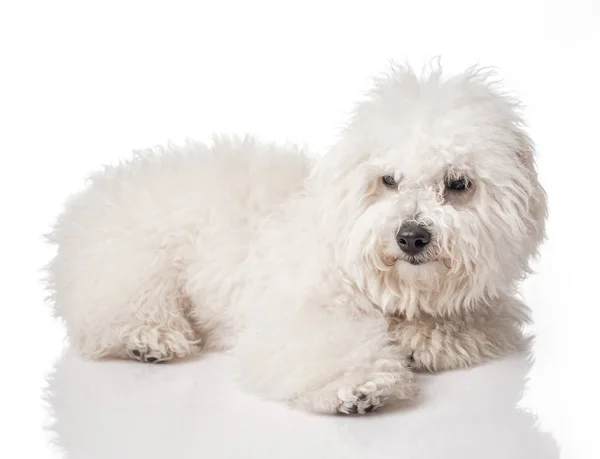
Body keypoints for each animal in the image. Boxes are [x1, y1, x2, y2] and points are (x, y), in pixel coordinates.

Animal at [45, 63, 544, 416]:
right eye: (388, 180)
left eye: (458, 183)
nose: (411, 237)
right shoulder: (297, 312)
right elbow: (326, 344)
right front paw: (357, 386)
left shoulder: (486, 309)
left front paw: (425, 339)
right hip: (133, 266)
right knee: (112, 313)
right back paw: (148, 338)